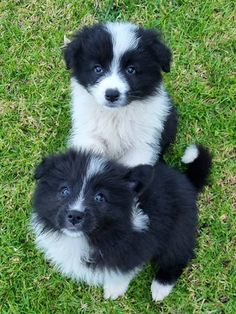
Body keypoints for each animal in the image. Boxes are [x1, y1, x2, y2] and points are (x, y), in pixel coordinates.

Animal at [31, 145, 212, 302]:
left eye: (100, 197)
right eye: (64, 190)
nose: (75, 215)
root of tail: (186, 181)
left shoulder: (137, 245)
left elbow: (123, 270)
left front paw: (114, 289)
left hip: (178, 228)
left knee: (176, 255)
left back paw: (160, 287)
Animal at [63, 22, 178, 167]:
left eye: (131, 70)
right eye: (97, 69)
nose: (112, 94)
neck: (114, 114)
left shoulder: (141, 145)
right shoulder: (88, 134)